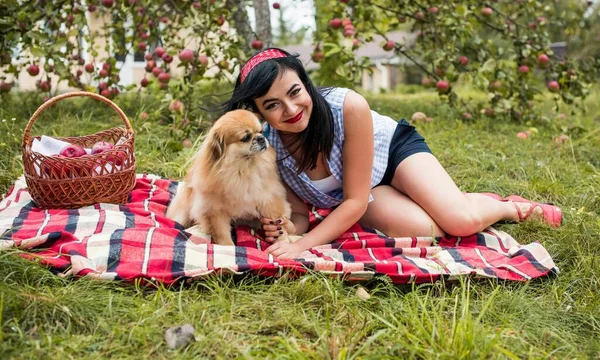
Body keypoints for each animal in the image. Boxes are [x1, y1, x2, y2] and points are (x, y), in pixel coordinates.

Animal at [165, 109, 296, 245]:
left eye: (260, 132)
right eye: (246, 138)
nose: (261, 138)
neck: (243, 170)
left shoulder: (269, 200)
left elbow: (278, 226)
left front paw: (283, 244)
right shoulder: (215, 210)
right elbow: (222, 234)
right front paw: (227, 246)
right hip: (183, 213)